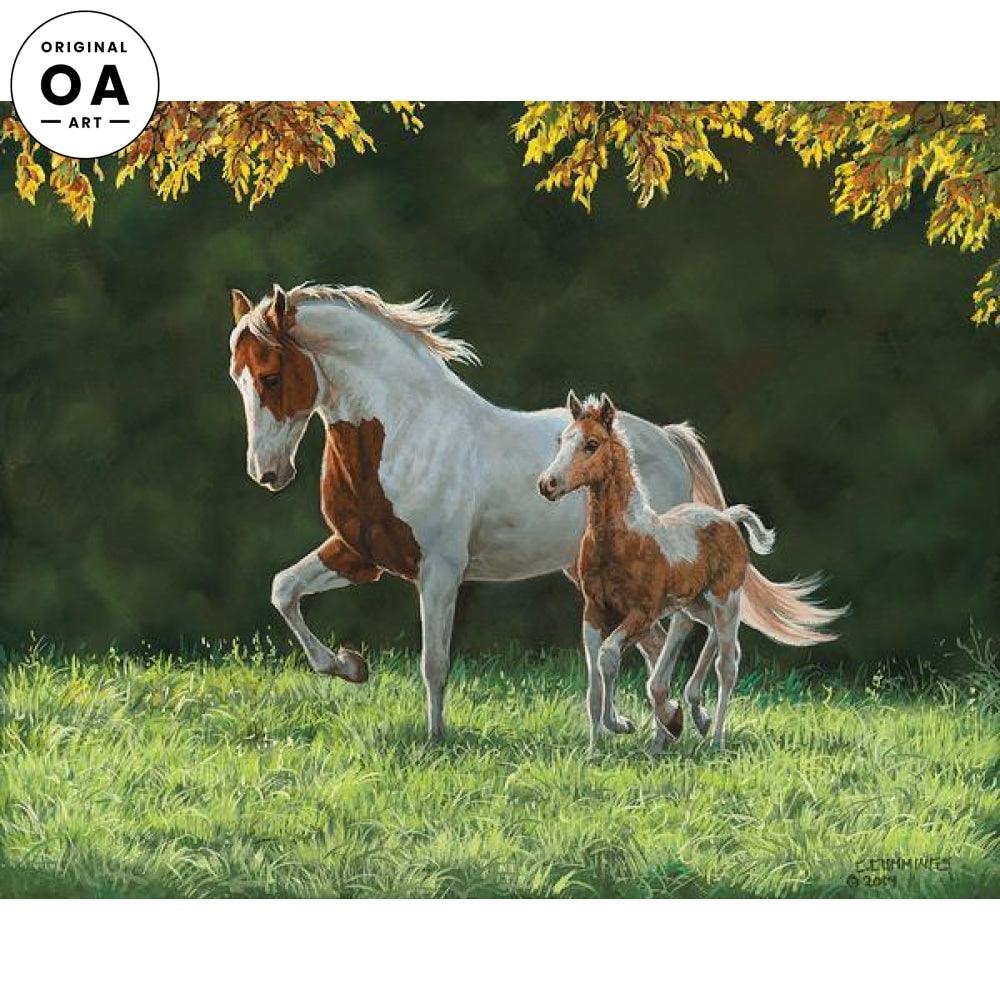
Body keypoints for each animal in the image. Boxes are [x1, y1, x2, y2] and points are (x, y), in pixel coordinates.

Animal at [539, 391, 784, 752]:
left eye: (591, 444)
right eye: (562, 440)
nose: (548, 484)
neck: (623, 537)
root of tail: (727, 518)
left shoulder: (642, 613)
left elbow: (609, 657)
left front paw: (629, 723)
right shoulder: (594, 612)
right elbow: (595, 684)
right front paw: (595, 750)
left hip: (725, 599)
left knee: (728, 664)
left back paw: (717, 739)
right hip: (696, 603)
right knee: (711, 635)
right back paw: (697, 716)